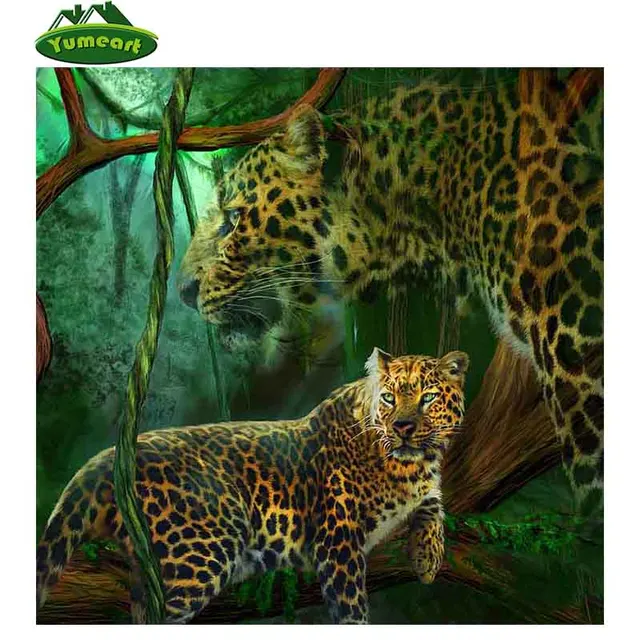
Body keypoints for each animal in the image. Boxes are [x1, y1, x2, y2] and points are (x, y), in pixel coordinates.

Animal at [36, 349, 468, 624]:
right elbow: (351, 609)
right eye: (390, 398)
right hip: (201, 553)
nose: (403, 427)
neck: (405, 465)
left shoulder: (425, 487)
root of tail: (106, 459)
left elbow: (434, 502)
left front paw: (428, 558)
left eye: (428, 397)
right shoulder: (337, 543)